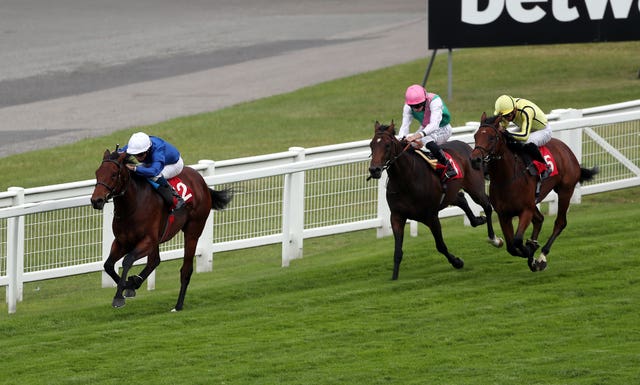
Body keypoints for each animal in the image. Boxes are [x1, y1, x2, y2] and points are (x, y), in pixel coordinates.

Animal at [89, 148, 231, 310]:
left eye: (113, 174)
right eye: (97, 173)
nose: (96, 200)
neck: (133, 206)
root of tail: (201, 181)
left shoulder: (148, 240)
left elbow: (127, 260)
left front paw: (119, 296)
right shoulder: (122, 242)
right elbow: (108, 265)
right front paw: (128, 285)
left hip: (193, 231)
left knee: (186, 269)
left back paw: (178, 305)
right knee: (154, 261)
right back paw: (135, 282)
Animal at [364, 121, 500, 280]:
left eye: (387, 145)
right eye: (372, 144)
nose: (374, 170)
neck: (406, 180)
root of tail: (469, 148)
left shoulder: (431, 216)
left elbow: (440, 245)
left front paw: (457, 262)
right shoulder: (397, 217)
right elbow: (397, 251)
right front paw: (394, 277)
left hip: (475, 188)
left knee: (487, 206)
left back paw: (494, 239)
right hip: (450, 193)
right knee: (461, 200)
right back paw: (477, 220)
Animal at [468, 112, 596, 272]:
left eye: (491, 137)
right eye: (475, 136)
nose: (475, 160)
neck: (507, 178)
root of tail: (567, 150)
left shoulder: (526, 210)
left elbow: (517, 240)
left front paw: (531, 252)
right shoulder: (504, 215)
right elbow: (511, 246)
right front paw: (529, 251)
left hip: (565, 191)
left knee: (560, 222)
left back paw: (541, 257)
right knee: (539, 219)